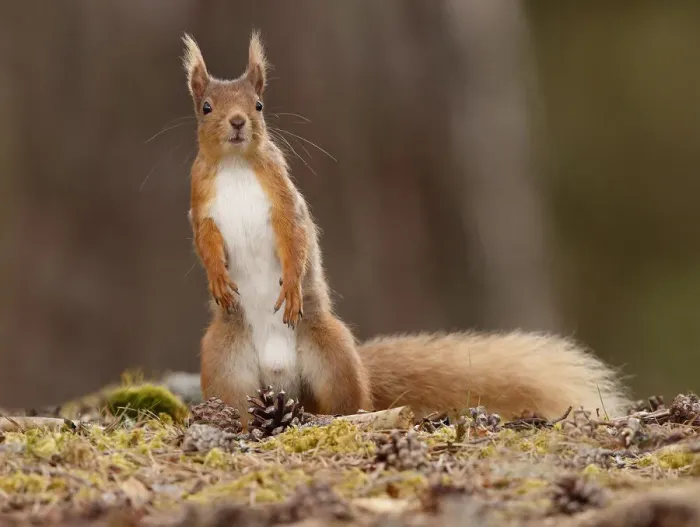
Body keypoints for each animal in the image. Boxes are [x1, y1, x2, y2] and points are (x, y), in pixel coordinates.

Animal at [182, 31, 631, 428]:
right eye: (206, 107)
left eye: (259, 105)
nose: (237, 122)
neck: (236, 166)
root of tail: (284, 385)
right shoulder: (200, 205)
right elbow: (205, 242)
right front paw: (217, 277)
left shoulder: (284, 200)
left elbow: (295, 238)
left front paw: (291, 286)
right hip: (223, 363)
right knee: (237, 402)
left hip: (334, 355)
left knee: (351, 402)